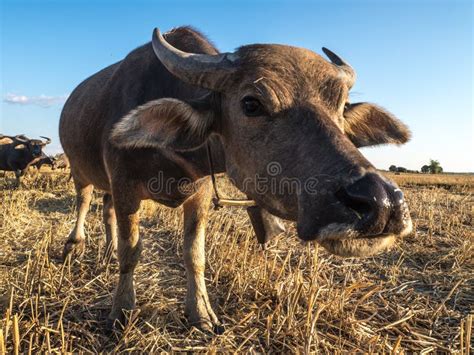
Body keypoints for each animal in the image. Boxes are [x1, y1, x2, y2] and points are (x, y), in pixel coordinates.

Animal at [58, 26, 412, 332]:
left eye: (340, 105)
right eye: (251, 103)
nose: (382, 202)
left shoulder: (199, 194)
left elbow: (194, 255)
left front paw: (201, 314)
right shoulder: (125, 186)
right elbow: (131, 251)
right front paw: (121, 312)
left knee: (106, 210)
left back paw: (106, 251)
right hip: (79, 169)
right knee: (85, 201)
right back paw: (74, 244)